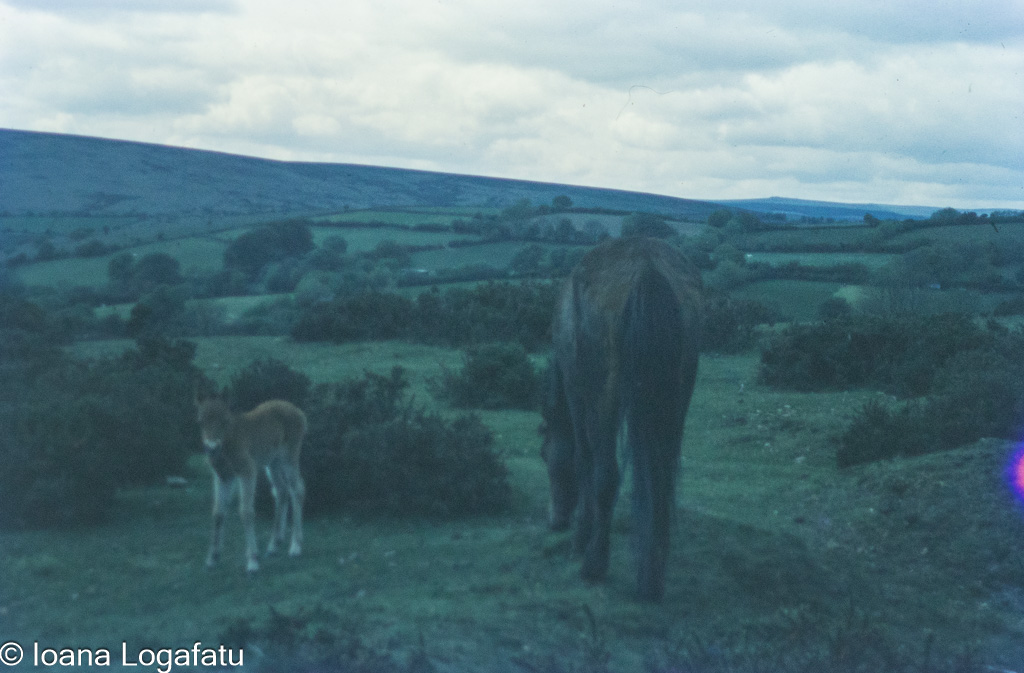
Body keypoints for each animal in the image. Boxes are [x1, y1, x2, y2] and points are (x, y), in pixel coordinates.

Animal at [195, 394, 308, 572]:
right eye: (200, 421)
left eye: (225, 420)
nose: (211, 448)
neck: (228, 441)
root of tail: (299, 412)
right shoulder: (222, 476)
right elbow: (218, 512)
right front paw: (212, 558)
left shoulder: (247, 470)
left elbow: (246, 511)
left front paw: (253, 560)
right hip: (273, 462)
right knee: (281, 490)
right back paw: (274, 545)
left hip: (289, 456)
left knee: (297, 489)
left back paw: (295, 546)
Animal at [540, 237, 702, 601]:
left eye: (544, 455)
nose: (556, 520)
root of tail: (646, 268)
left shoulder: (578, 395)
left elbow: (583, 462)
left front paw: (582, 535)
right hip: (678, 394)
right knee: (663, 478)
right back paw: (652, 576)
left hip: (605, 397)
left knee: (606, 476)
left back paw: (594, 563)